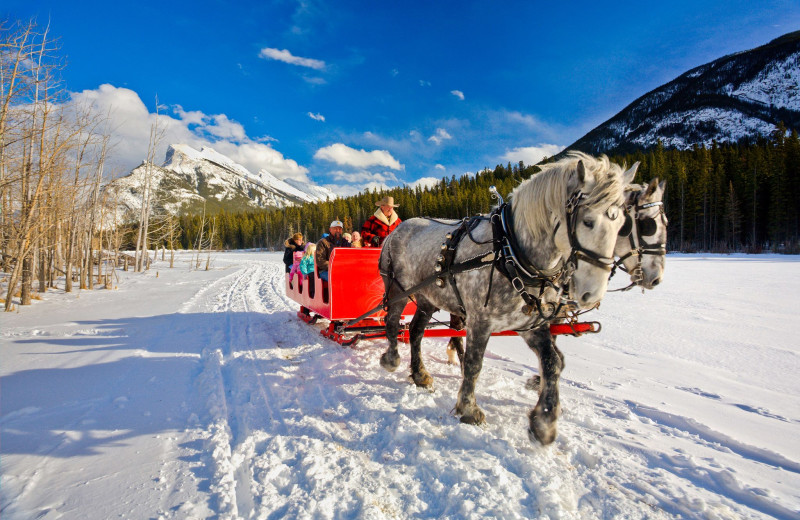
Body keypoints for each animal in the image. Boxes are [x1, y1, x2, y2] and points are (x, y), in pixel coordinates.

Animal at [378, 152, 636, 444]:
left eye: (623, 225)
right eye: (587, 221)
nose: (591, 293)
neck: (510, 251)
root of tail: (398, 229)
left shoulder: (531, 325)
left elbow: (552, 363)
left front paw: (544, 421)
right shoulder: (480, 320)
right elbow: (474, 363)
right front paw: (469, 409)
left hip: (426, 297)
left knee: (416, 330)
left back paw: (420, 374)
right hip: (397, 290)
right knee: (392, 322)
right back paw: (391, 359)